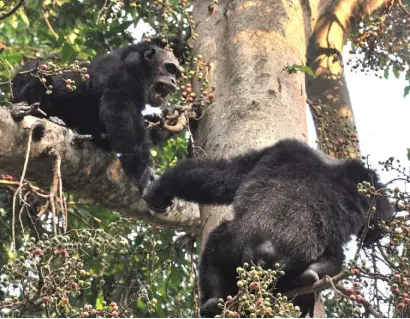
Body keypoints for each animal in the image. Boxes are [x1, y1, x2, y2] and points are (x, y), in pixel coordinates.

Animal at [11, 40, 181, 190]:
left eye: (176, 74)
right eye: (170, 68)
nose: (174, 80)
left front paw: (164, 122)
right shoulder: (129, 70)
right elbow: (121, 112)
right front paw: (143, 173)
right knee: (36, 72)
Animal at [142, 139, 394, 318]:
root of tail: (266, 251)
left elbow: (221, 175)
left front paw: (161, 188)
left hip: (235, 250)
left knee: (214, 244)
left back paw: (214, 298)